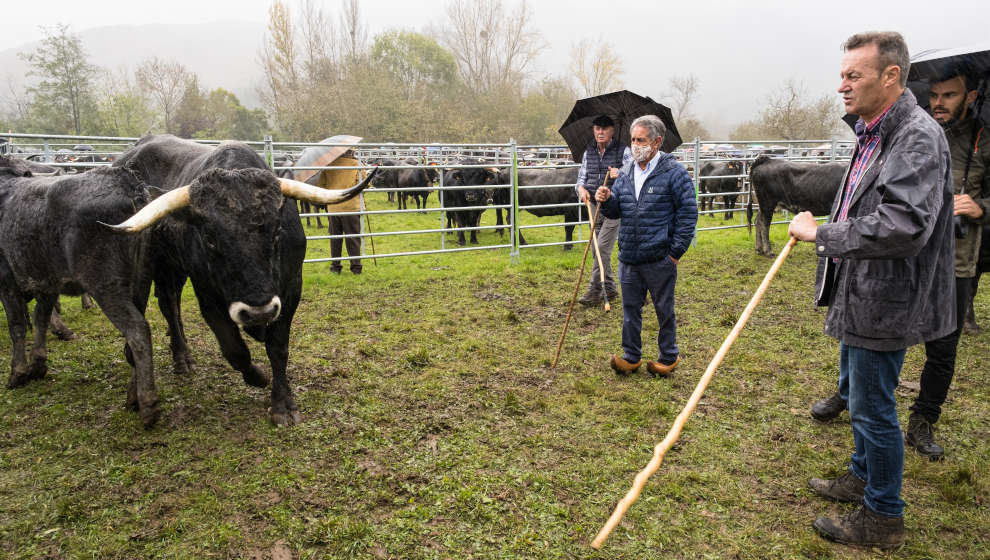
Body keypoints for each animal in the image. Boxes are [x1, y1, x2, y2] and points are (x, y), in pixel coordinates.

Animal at [0, 153, 162, 424]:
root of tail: (125, 179)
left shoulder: (7, 278)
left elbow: (18, 325)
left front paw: (18, 373)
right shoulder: (48, 281)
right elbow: (40, 317)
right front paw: (37, 364)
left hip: (106, 286)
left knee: (137, 330)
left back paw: (148, 405)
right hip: (140, 281)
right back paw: (133, 397)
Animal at [113, 136, 376, 424]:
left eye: (276, 232)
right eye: (210, 239)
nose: (258, 311)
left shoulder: (291, 289)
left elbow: (278, 347)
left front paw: (283, 405)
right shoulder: (208, 296)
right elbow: (234, 348)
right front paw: (258, 377)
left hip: (173, 267)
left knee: (170, 300)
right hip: (149, 266)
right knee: (164, 306)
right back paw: (177, 360)